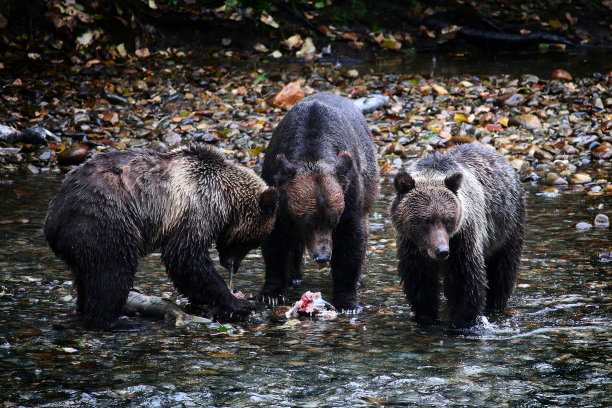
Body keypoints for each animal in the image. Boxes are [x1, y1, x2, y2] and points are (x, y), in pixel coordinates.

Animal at [44, 145, 278, 330]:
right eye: (252, 243)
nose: (232, 266)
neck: (226, 199)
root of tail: (53, 219)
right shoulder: (197, 208)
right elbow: (186, 258)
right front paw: (237, 303)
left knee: (87, 276)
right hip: (104, 222)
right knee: (111, 272)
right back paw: (115, 322)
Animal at [258, 92, 378, 312]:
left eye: (333, 220)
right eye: (309, 221)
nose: (322, 257)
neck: (311, 152)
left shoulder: (349, 193)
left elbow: (351, 240)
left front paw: (347, 300)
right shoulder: (277, 188)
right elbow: (275, 241)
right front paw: (272, 293)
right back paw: (294, 276)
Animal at [390, 143, 524, 328]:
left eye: (448, 219)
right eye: (425, 220)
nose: (442, 251)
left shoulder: (463, 236)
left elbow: (464, 279)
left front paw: (463, 321)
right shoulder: (411, 245)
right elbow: (419, 279)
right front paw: (426, 316)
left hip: (506, 225)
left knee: (502, 269)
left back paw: (494, 305)